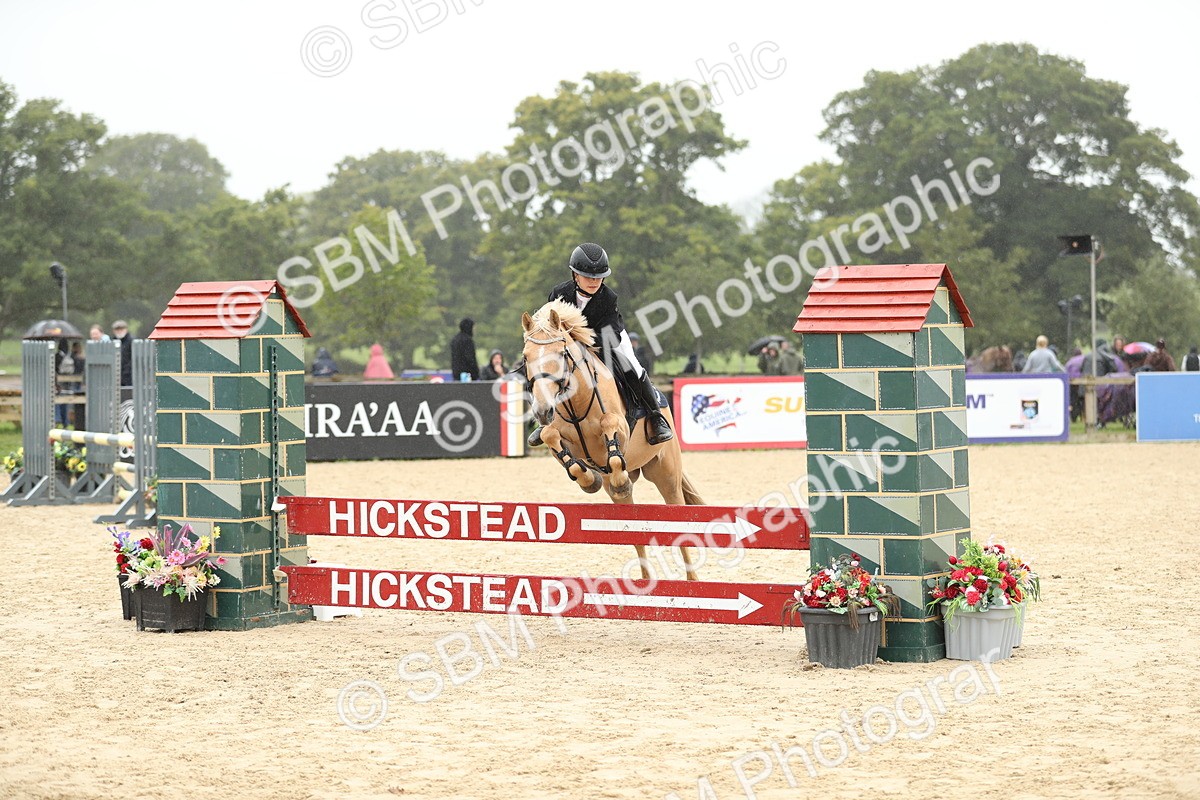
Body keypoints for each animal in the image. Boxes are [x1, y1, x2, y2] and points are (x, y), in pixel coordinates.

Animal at [519, 300, 702, 580]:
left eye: (561, 354)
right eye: (526, 357)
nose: (542, 410)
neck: (576, 402)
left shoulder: (621, 427)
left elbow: (609, 426)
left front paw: (615, 478)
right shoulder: (556, 434)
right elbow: (553, 438)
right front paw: (588, 479)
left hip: (666, 473)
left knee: (679, 523)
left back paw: (693, 581)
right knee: (632, 530)